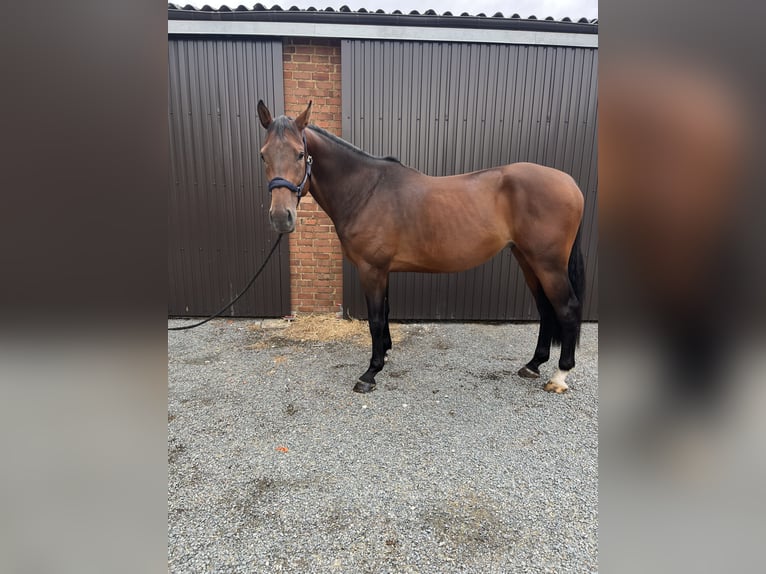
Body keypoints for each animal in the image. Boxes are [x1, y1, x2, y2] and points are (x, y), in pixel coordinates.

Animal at [257, 100, 585, 394]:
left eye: (301, 154)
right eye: (263, 155)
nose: (280, 217)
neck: (366, 191)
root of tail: (570, 183)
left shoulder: (371, 269)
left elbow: (375, 319)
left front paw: (370, 372)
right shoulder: (383, 270)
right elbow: (385, 313)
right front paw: (385, 353)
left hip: (548, 264)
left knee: (566, 308)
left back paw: (559, 375)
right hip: (527, 259)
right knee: (545, 308)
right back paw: (533, 364)